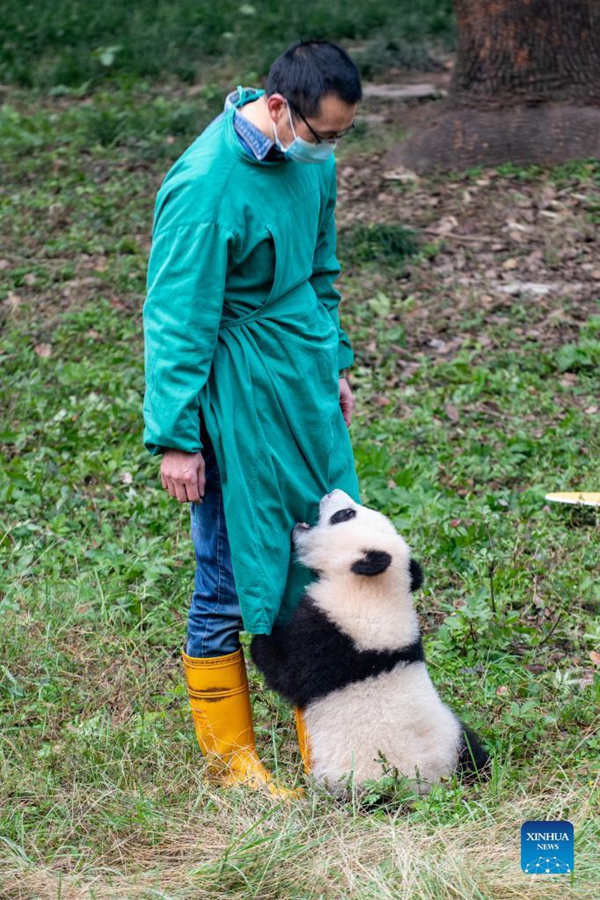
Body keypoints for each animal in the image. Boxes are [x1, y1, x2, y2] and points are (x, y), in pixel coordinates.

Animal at [251, 489, 489, 795]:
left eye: (345, 514)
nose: (332, 492)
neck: (375, 590)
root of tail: (430, 782)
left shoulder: (334, 634)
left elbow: (288, 672)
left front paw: (259, 638)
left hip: (359, 775)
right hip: (453, 739)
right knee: (473, 751)